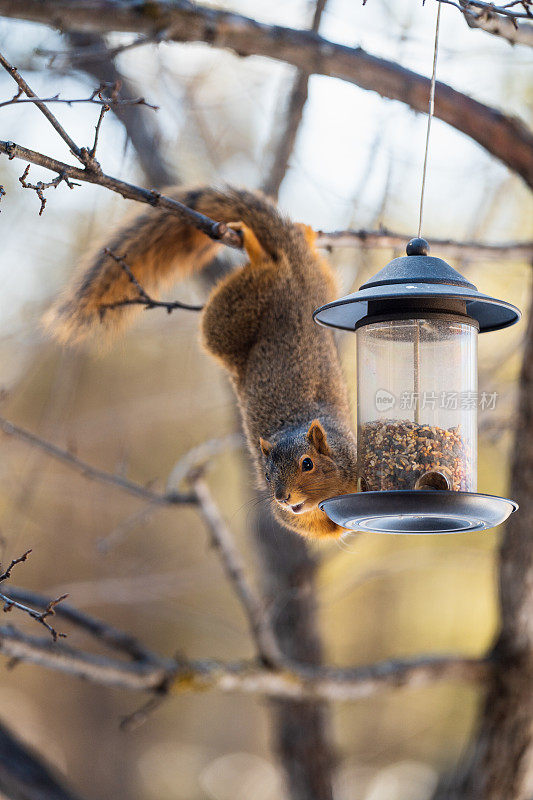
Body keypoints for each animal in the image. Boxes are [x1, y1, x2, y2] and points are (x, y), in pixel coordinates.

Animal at [47, 187, 358, 536]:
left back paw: (278, 244)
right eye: (266, 474)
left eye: (308, 463)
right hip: (234, 318)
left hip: (242, 309)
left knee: (274, 265)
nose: (282, 497)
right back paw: (264, 244)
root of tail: (296, 278)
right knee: (273, 264)